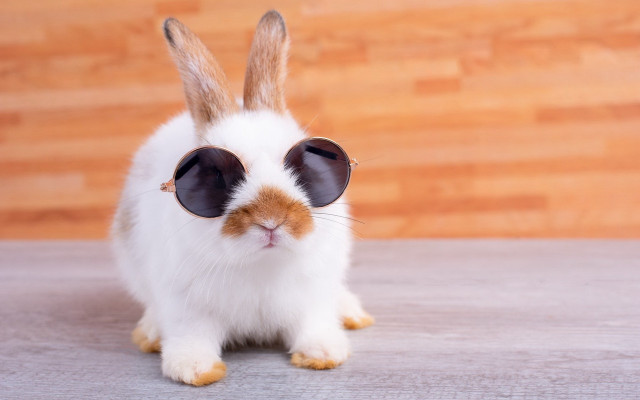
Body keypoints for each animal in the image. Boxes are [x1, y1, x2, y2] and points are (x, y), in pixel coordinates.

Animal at [111, 10, 373, 386]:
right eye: (216, 176)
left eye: (304, 169)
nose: (272, 220)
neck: (260, 265)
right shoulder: (185, 307)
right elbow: (191, 338)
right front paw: (195, 370)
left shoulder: (311, 298)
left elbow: (313, 325)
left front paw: (324, 355)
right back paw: (149, 334)